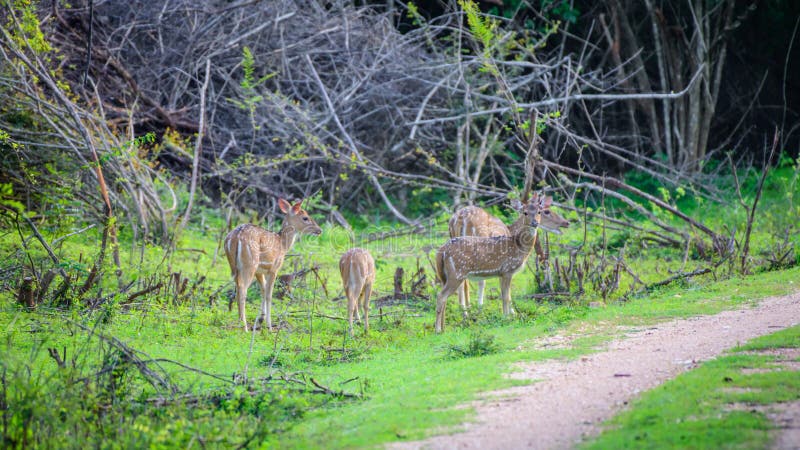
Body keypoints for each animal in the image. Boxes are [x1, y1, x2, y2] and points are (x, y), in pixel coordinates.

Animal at [223, 199, 320, 332]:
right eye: (305, 218)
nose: (319, 230)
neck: (283, 246)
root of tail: (233, 238)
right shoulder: (274, 268)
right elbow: (269, 294)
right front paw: (269, 326)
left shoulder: (260, 271)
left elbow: (263, 289)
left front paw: (261, 319)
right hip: (250, 263)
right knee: (242, 288)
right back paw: (244, 326)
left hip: (235, 266)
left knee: (237, 286)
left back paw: (239, 322)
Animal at [438, 195, 552, 332]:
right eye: (525, 212)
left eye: (539, 212)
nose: (535, 223)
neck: (518, 247)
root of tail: (442, 250)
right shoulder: (508, 269)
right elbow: (506, 296)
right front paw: (508, 318)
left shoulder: (501, 273)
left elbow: (504, 295)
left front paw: (507, 316)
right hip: (457, 273)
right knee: (441, 295)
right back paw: (439, 329)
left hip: (447, 275)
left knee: (445, 296)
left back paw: (444, 328)